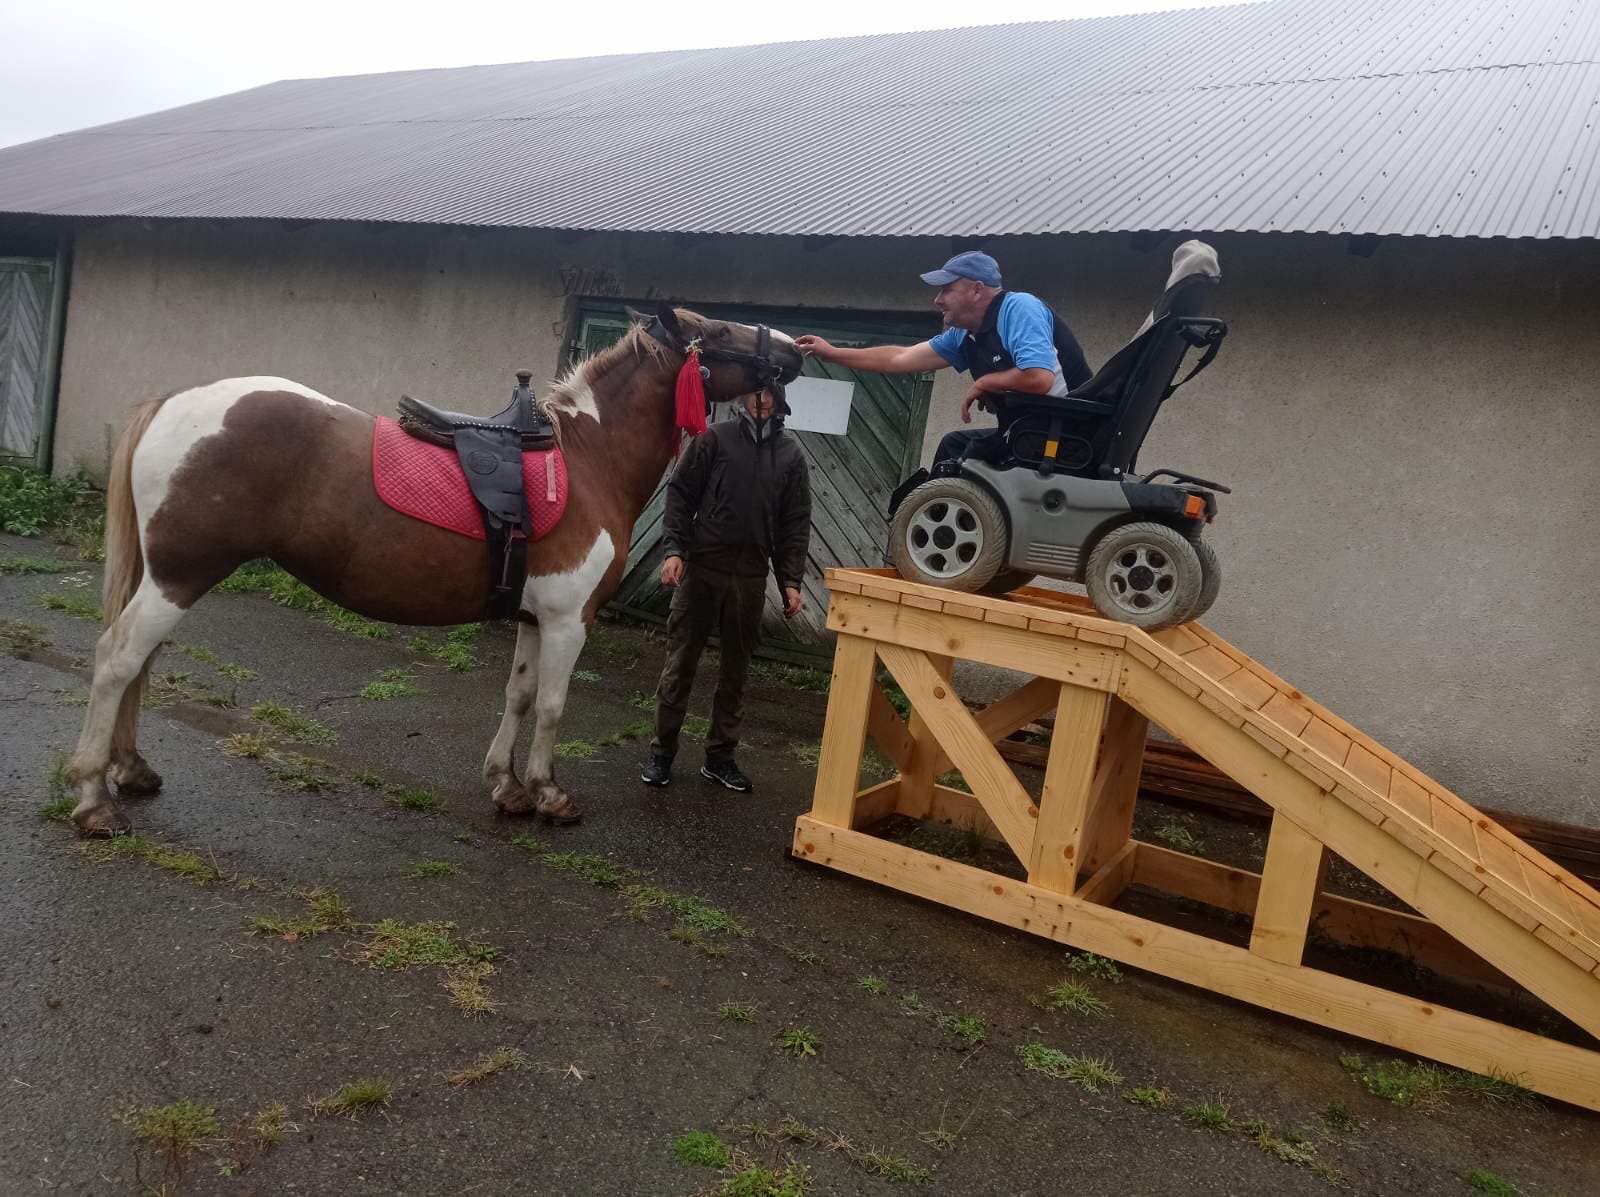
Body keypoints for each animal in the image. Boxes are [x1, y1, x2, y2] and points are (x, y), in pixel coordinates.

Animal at [68, 304, 806, 838]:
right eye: (718, 332)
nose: (796, 350)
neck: (588, 456)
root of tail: (172, 401)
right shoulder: (569, 621)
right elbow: (553, 706)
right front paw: (549, 793)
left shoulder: (534, 618)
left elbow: (518, 695)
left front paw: (507, 786)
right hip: (179, 577)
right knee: (117, 659)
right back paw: (92, 796)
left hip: (169, 578)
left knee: (140, 664)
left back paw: (130, 769)